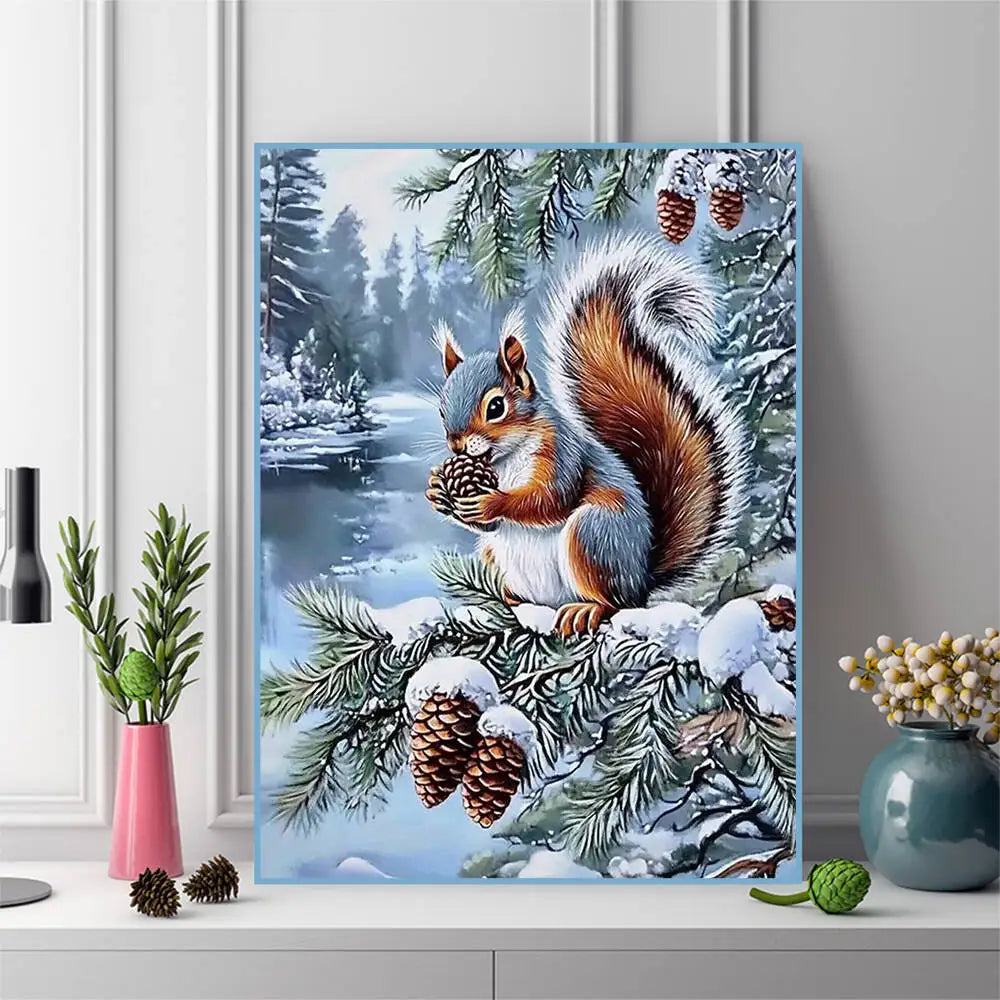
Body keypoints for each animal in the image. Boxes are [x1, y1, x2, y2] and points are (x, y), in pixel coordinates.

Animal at [426, 233, 749, 637]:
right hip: (496, 553)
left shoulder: (563, 453)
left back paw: (585, 610)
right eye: (441, 409)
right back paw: (506, 601)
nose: (456, 444)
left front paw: (492, 502)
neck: (505, 458)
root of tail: (641, 580)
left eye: (496, 407)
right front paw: (438, 490)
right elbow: (488, 523)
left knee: (613, 603)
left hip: (594, 536)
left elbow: (549, 500)